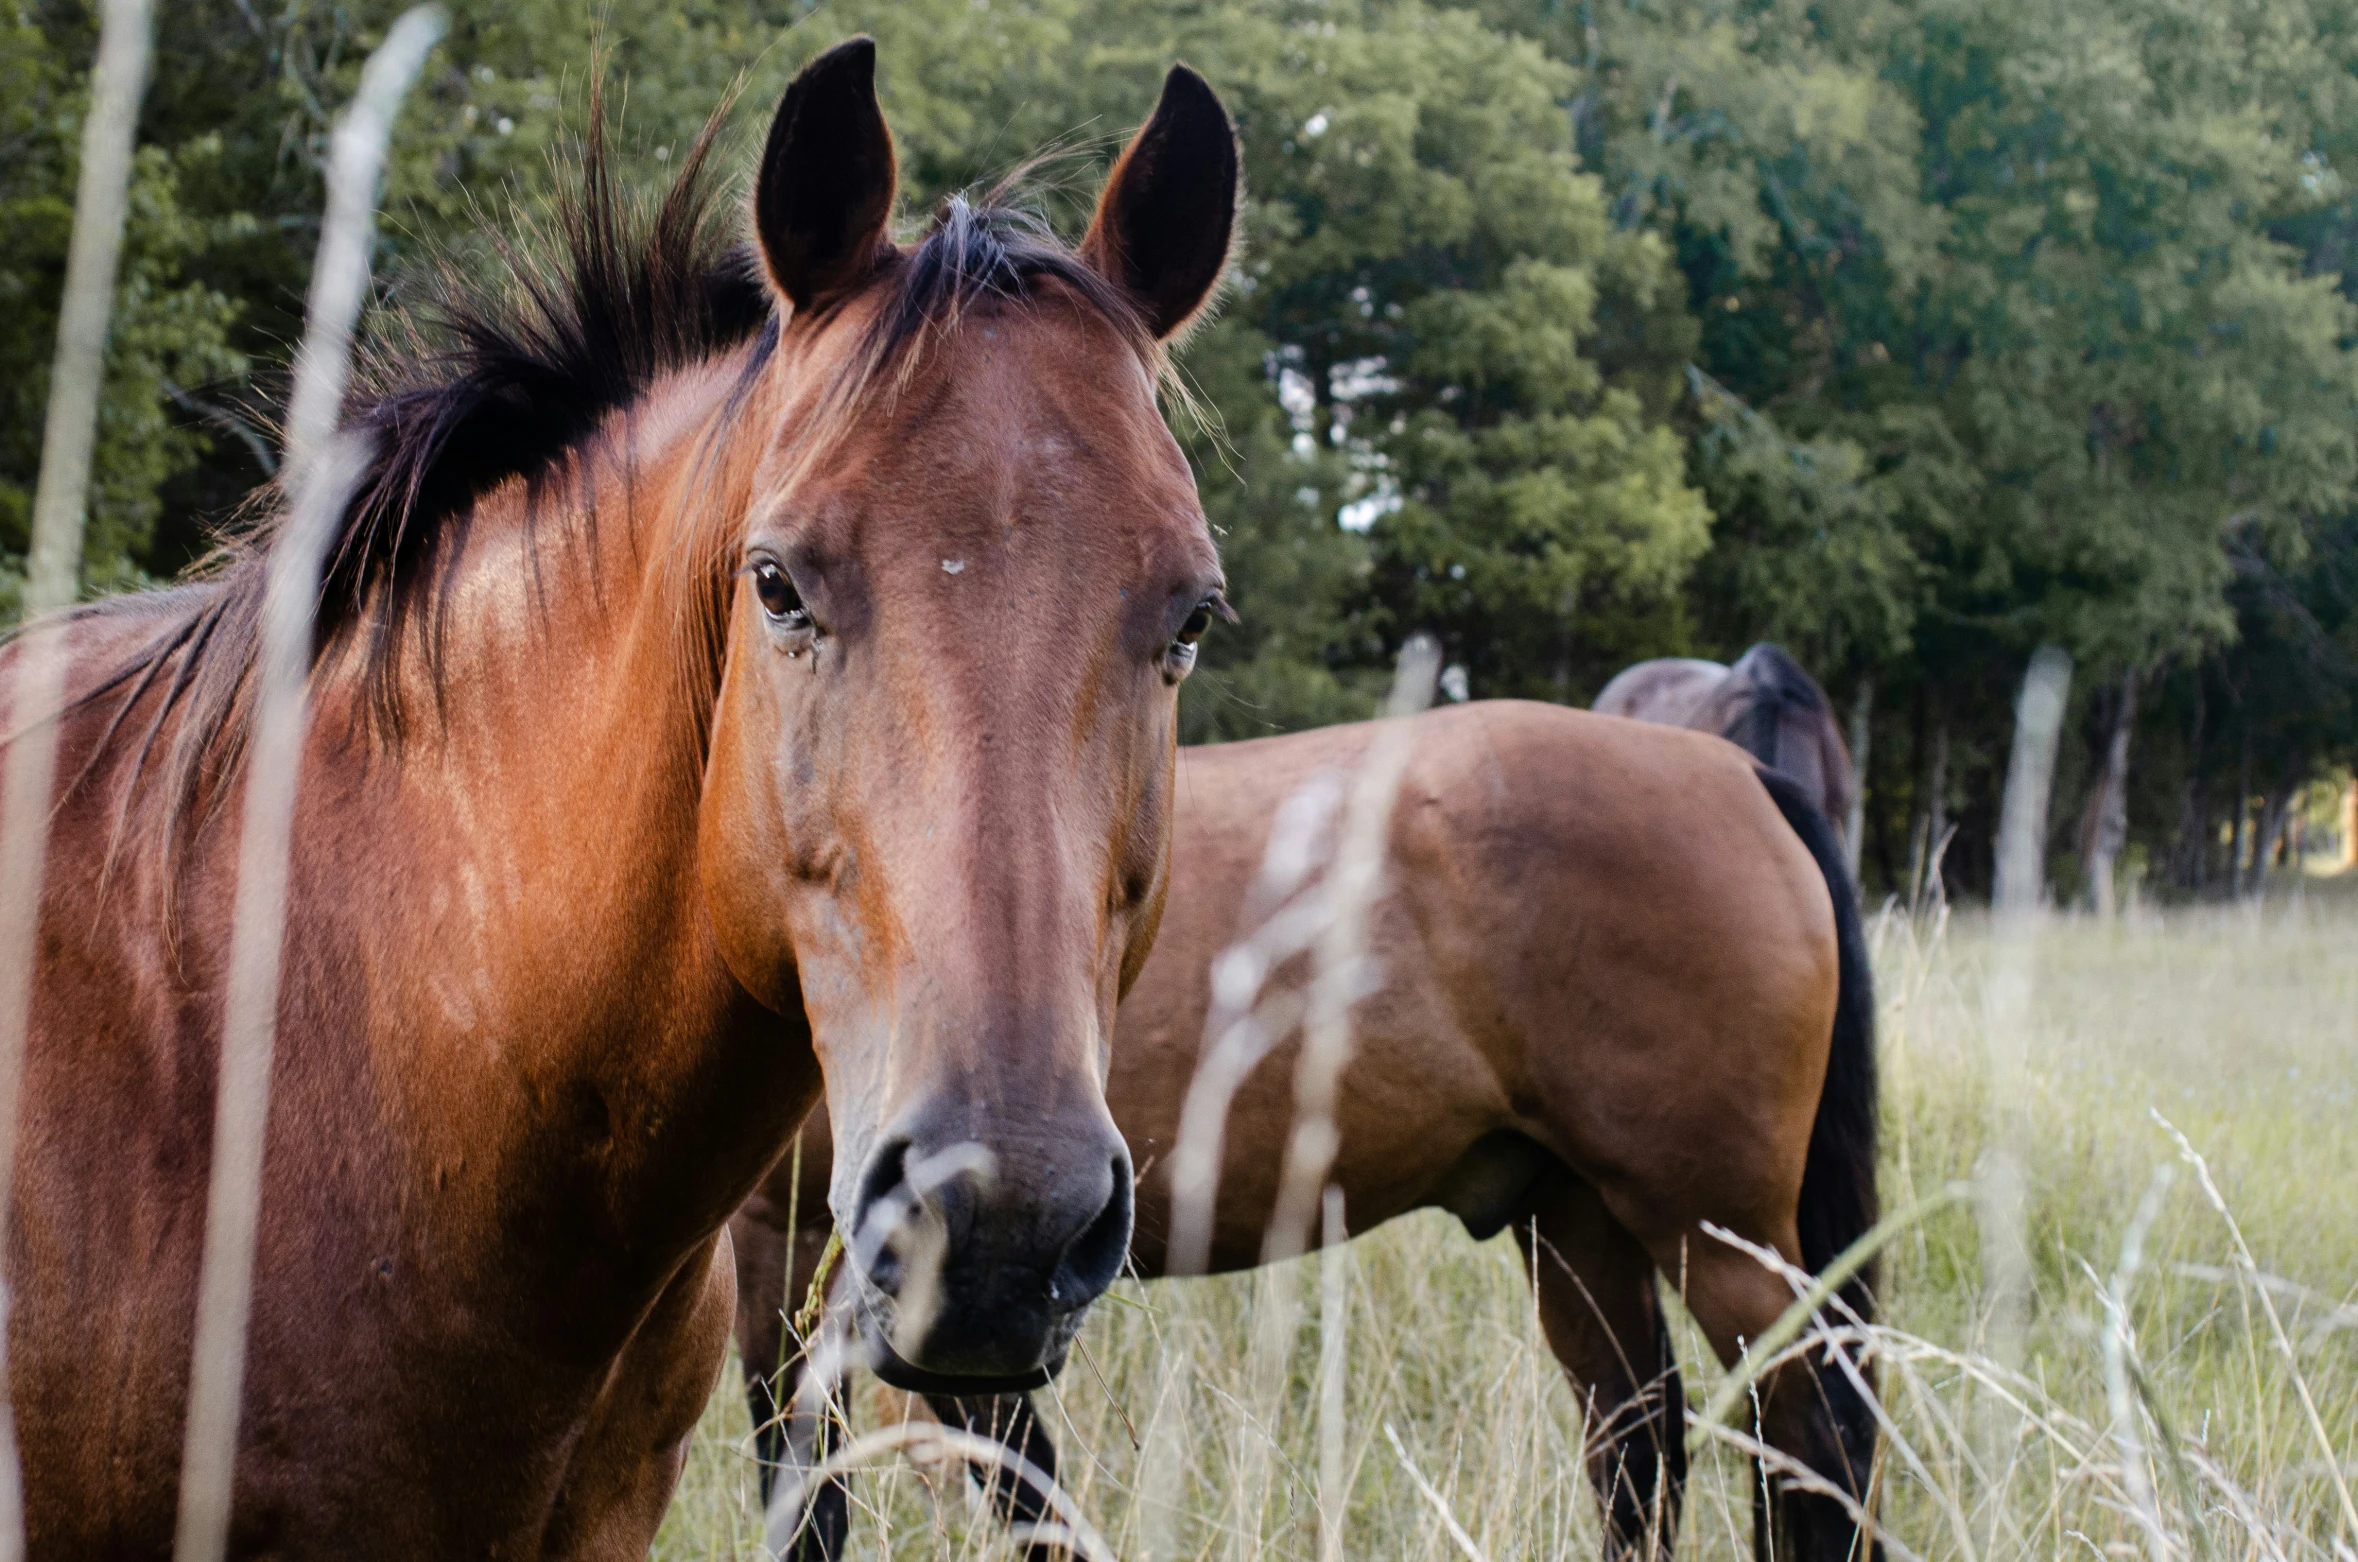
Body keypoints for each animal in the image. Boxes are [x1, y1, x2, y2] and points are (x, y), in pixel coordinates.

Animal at [735, 703, 1876, 1562]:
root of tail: (1736, 771)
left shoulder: (796, 1247)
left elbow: (821, 1490)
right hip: (1574, 1219)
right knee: (1636, 1441)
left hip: (1721, 1240)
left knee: (1814, 1444)